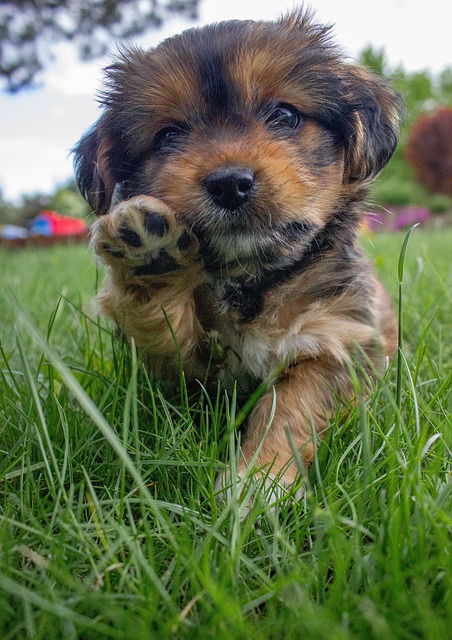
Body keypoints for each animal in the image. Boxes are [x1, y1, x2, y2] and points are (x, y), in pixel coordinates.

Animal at [74, 11, 402, 500]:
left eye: (285, 114)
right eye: (168, 135)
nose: (229, 183)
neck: (251, 277)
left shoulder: (334, 340)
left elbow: (290, 408)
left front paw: (258, 483)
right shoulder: (182, 377)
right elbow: (163, 330)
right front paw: (152, 256)